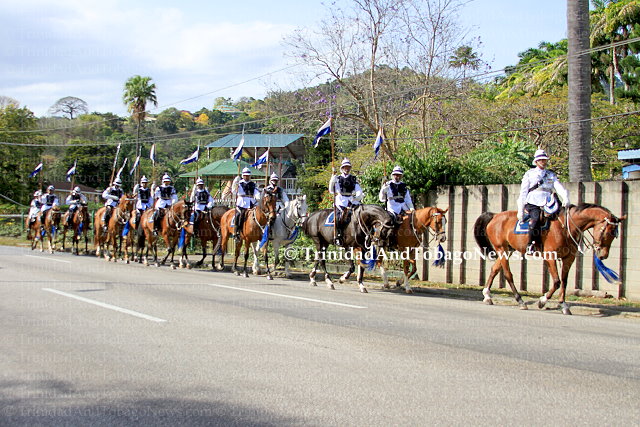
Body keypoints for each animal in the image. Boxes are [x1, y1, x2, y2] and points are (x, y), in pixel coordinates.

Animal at [473, 203, 626, 315]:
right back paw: (520, 301)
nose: (603, 255)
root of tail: (495, 216)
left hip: (507, 250)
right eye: (608, 232)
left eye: (615, 234)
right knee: (507, 274)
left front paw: (563, 305)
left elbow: (564, 282)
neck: (565, 227)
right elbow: (557, 282)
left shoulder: (568, 258)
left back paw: (487, 296)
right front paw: (542, 301)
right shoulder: (550, 257)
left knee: (494, 269)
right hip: (502, 249)